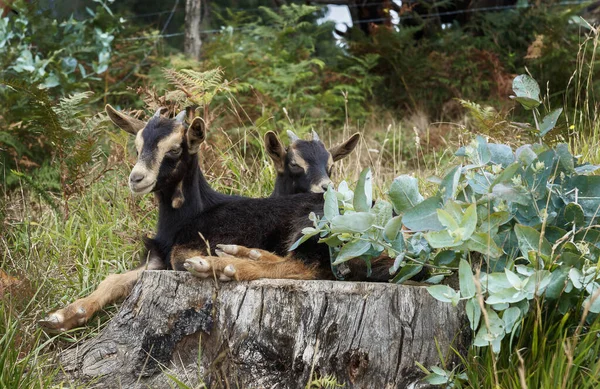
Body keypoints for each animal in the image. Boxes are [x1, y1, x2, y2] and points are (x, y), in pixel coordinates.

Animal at [39, 106, 392, 330]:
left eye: (175, 149)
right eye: (137, 145)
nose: (137, 178)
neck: (185, 218)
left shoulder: (201, 238)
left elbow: (179, 257)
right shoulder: (155, 259)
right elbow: (113, 279)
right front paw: (62, 316)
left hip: (316, 227)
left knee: (309, 267)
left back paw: (221, 265)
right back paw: (240, 255)